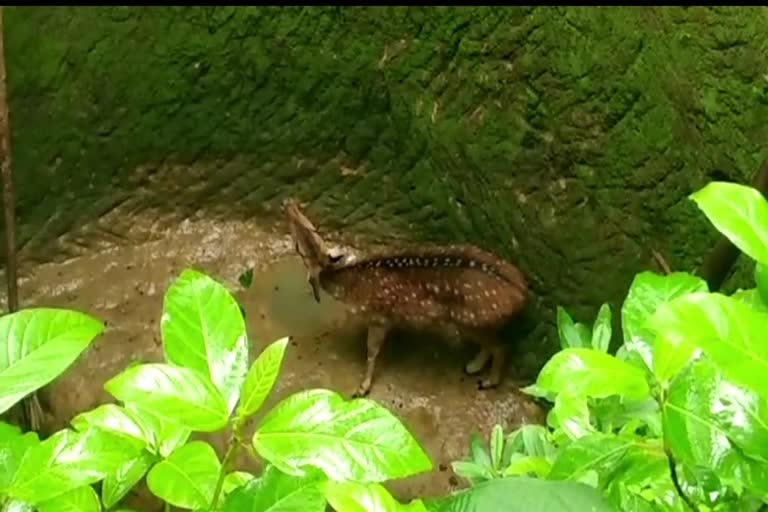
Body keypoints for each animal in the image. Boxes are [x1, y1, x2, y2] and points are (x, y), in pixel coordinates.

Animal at [282, 197, 528, 396]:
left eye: (298, 245)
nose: (289, 202)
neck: (350, 282)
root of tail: (521, 293)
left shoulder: (379, 316)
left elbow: (371, 351)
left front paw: (362, 388)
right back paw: (473, 367)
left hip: (471, 319)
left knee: (502, 346)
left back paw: (488, 381)